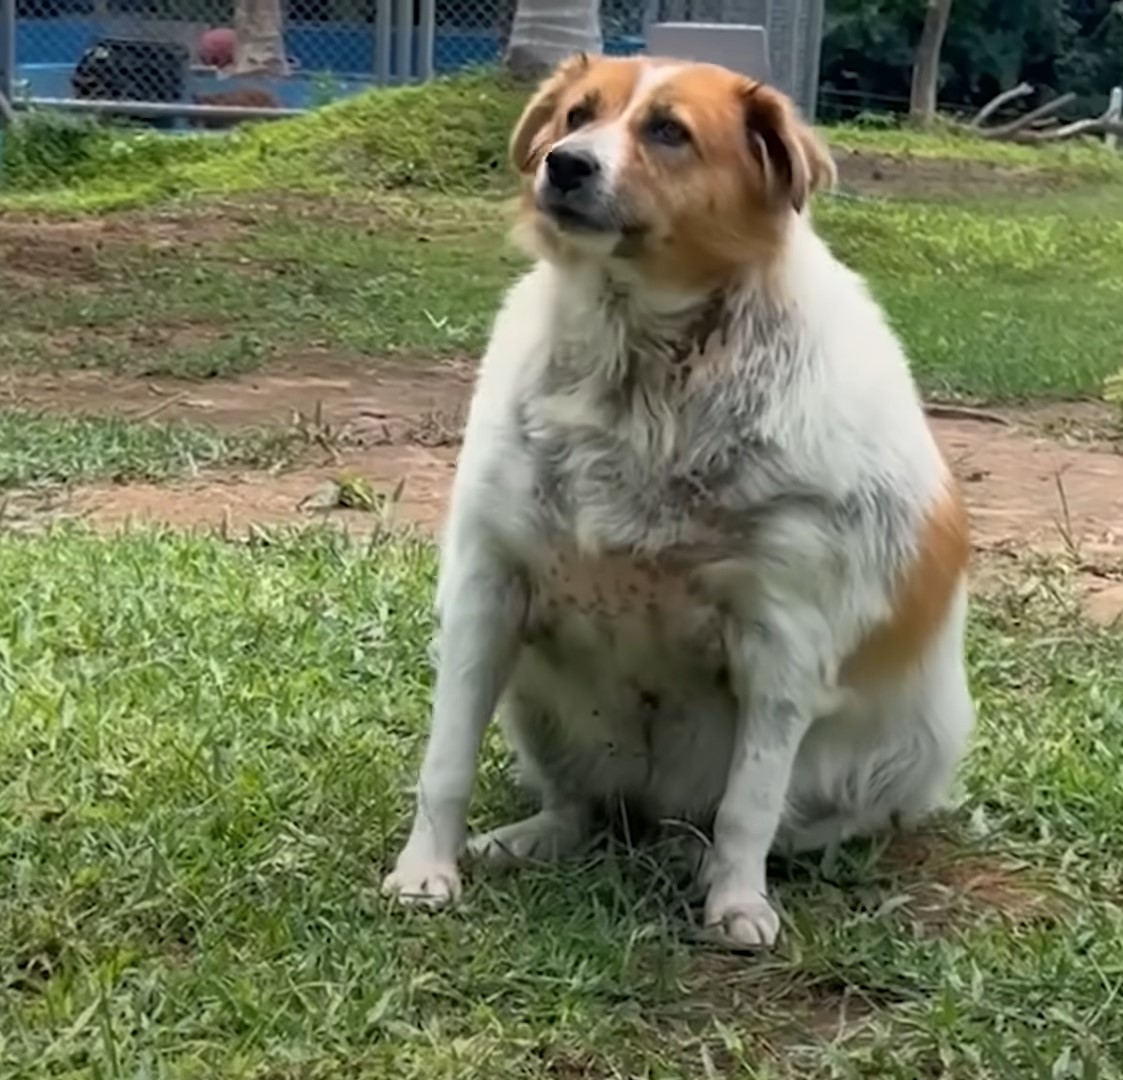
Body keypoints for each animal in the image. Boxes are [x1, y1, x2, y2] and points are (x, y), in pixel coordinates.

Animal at [381, 54, 970, 943]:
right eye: (576, 115)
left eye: (668, 131)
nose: (565, 165)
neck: (638, 363)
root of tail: (653, 809)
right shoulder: (487, 591)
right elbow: (444, 760)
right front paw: (426, 870)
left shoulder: (782, 637)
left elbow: (748, 804)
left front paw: (736, 903)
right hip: (540, 708)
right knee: (582, 808)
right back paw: (531, 838)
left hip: (905, 758)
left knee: (751, 820)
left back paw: (699, 859)